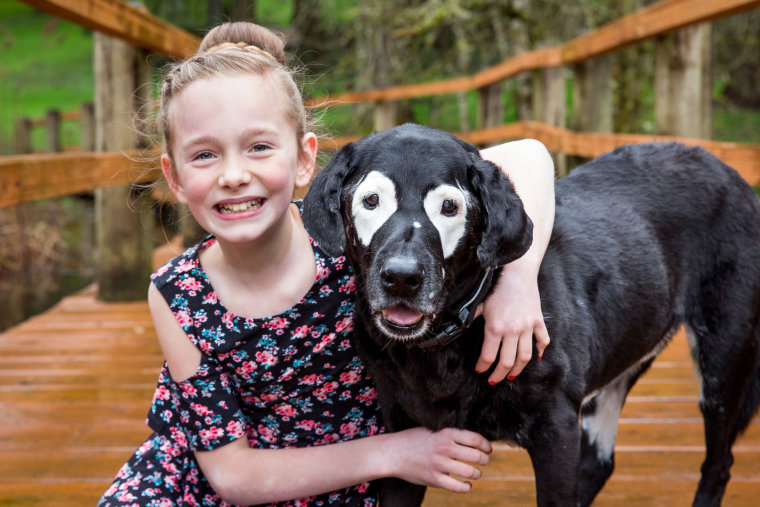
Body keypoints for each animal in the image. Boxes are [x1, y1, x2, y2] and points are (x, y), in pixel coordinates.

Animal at [300, 124, 760, 507]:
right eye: (371, 201)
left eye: (449, 207)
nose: (401, 277)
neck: (446, 344)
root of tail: (727, 171)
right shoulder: (403, 440)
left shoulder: (556, 430)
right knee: (600, 462)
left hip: (722, 364)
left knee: (718, 465)